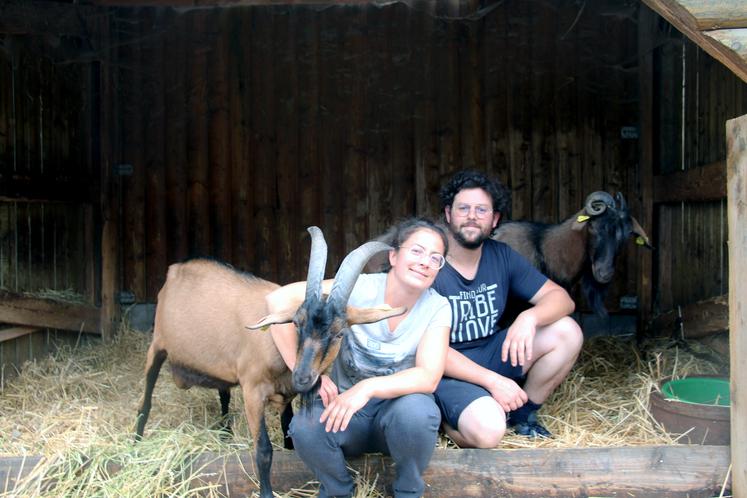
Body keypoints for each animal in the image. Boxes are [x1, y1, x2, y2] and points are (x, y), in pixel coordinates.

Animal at [134, 228, 404, 498]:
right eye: (296, 323)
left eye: (339, 333)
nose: (302, 377)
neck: (276, 344)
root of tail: (176, 269)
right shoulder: (253, 392)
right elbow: (263, 450)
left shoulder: (286, 394)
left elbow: (288, 435)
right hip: (157, 346)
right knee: (145, 402)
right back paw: (136, 444)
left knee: (223, 394)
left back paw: (225, 433)